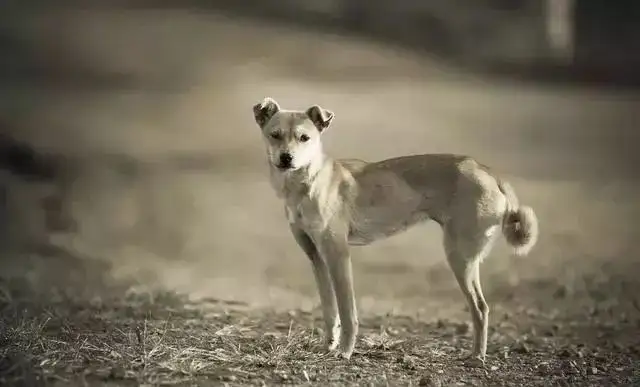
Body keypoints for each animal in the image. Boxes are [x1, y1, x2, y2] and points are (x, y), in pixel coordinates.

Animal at [252, 97, 536, 364]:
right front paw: (328, 346)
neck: (308, 182)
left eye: (304, 138)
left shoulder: (338, 255)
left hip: (460, 257)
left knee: (480, 308)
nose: (286, 158)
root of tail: (485, 170)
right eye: (275, 135)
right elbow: (329, 309)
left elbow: (347, 311)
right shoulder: (316, 257)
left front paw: (345, 351)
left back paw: (477, 356)